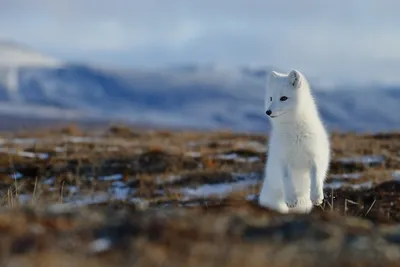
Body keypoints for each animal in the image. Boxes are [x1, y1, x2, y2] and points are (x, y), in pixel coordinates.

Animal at [260, 70, 332, 215]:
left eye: (283, 98)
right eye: (270, 98)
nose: (268, 112)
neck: (296, 133)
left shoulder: (315, 155)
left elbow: (316, 175)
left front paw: (317, 196)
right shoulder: (283, 158)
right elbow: (286, 178)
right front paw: (291, 199)